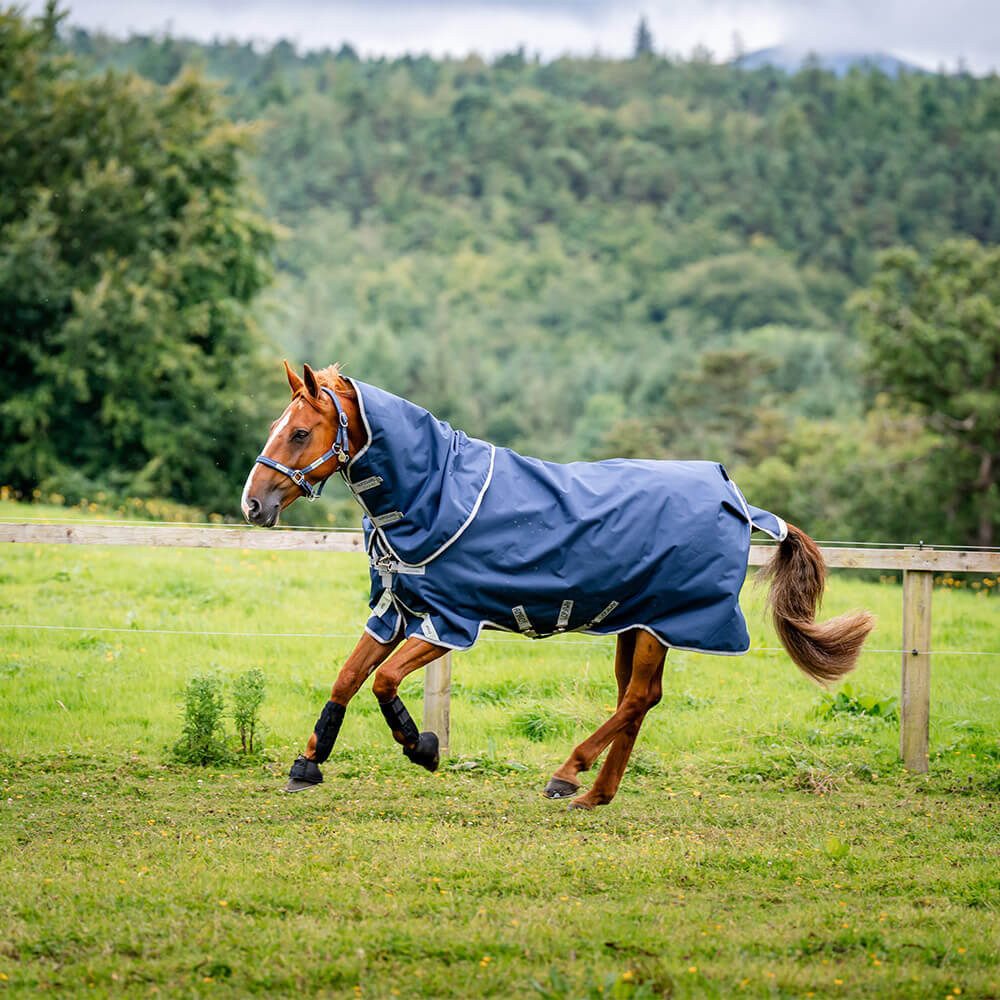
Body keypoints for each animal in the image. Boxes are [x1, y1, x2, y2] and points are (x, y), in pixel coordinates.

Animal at [242, 361, 874, 809]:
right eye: (275, 427)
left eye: (300, 432)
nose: (253, 504)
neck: (435, 494)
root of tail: (736, 498)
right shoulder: (397, 610)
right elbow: (348, 678)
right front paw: (308, 765)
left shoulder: (450, 621)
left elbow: (384, 682)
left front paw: (421, 747)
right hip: (637, 622)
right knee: (639, 698)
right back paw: (596, 794)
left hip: (662, 623)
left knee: (637, 698)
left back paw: (568, 774)